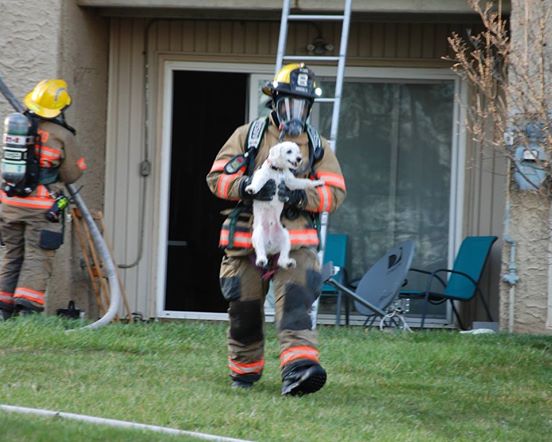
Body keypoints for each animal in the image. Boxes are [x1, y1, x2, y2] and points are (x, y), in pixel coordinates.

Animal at [0, 79, 85, 320]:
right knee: (39, 258)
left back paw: (5, 309)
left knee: (12, 259)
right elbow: (71, 168)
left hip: (11, 222)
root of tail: (15, 190)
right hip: (43, 225)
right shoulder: (66, 139)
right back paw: (26, 309)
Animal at [207, 63, 344, 398]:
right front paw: (251, 187)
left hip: (284, 238)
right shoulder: (264, 177)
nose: (299, 159)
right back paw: (258, 259)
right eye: (289, 152)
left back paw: (286, 261)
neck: (279, 173)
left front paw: (315, 184)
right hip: (256, 238)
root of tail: (269, 248)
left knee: (284, 260)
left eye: (298, 152)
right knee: (252, 273)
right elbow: (255, 180)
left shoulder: (291, 182)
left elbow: (300, 184)